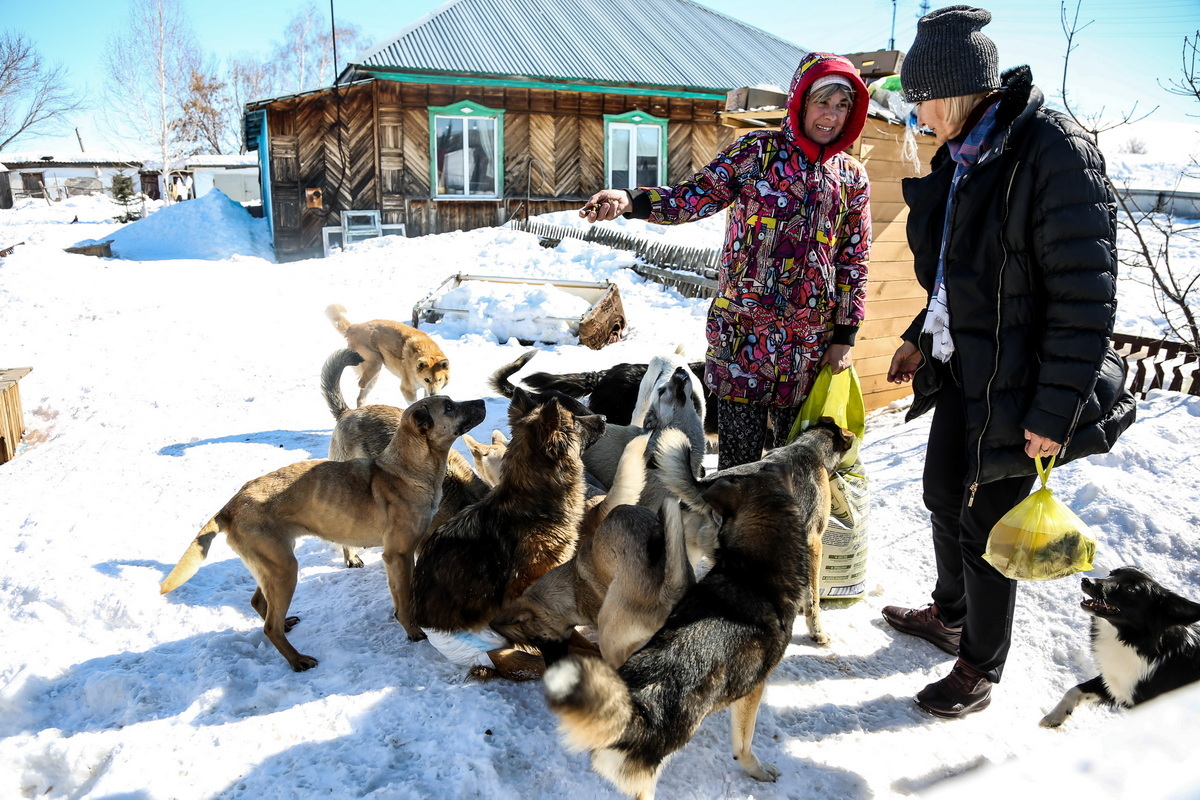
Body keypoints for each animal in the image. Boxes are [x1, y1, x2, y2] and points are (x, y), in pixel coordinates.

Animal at [160, 395, 487, 671]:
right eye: (449, 407)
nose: (483, 401)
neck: (405, 471)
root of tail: (230, 505)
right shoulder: (399, 555)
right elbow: (404, 601)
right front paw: (413, 631)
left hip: (273, 564)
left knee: (260, 604)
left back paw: (286, 626)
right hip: (284, 569)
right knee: (269, 627)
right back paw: (297, 660)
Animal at [1041, 566, 1200, 729]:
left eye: (1130, 589)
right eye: (1112, 573)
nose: (1086, 580)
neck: (1134, 642)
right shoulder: (1115, 682)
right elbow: (1074, 690)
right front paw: (1054, 717)